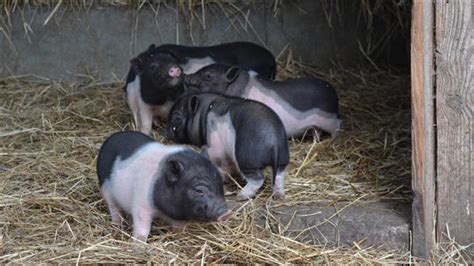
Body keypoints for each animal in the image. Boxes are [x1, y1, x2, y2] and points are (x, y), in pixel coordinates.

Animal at [96, 130, 231, 242]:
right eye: (198, 190)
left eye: (220, 182)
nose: (227, 212)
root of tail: (110, 138)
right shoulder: (141, 204)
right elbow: (142, 230)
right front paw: (138, 245)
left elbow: (179, 228)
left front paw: (181, 237)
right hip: (105, 188)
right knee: (114, 208)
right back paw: (117, 225)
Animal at [125, 42, 278, 136]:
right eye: (152, 66)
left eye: (174, 59)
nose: (174, 69)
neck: (164, 100)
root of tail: (271, 58)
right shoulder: (142, 104)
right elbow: (145, 125)